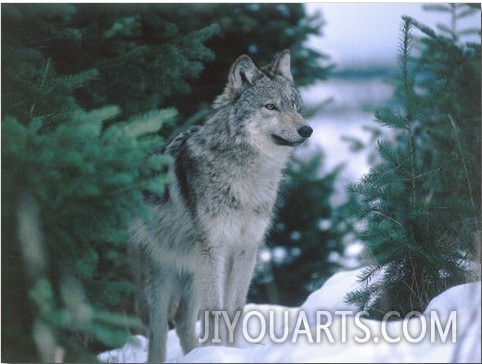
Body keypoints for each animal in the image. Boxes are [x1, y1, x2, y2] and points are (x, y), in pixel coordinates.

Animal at [127, 49, 312, 362]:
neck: (247, 176)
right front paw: (219, 353)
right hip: (163, 277)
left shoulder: (247, 249)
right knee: (159, 329)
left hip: (191, 273)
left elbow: (234, 310)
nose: (307, 129)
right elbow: (214, 312)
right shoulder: (215, 249)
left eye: (295, 105)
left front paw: (231, 352)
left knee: (183, 322)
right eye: (270, 107)